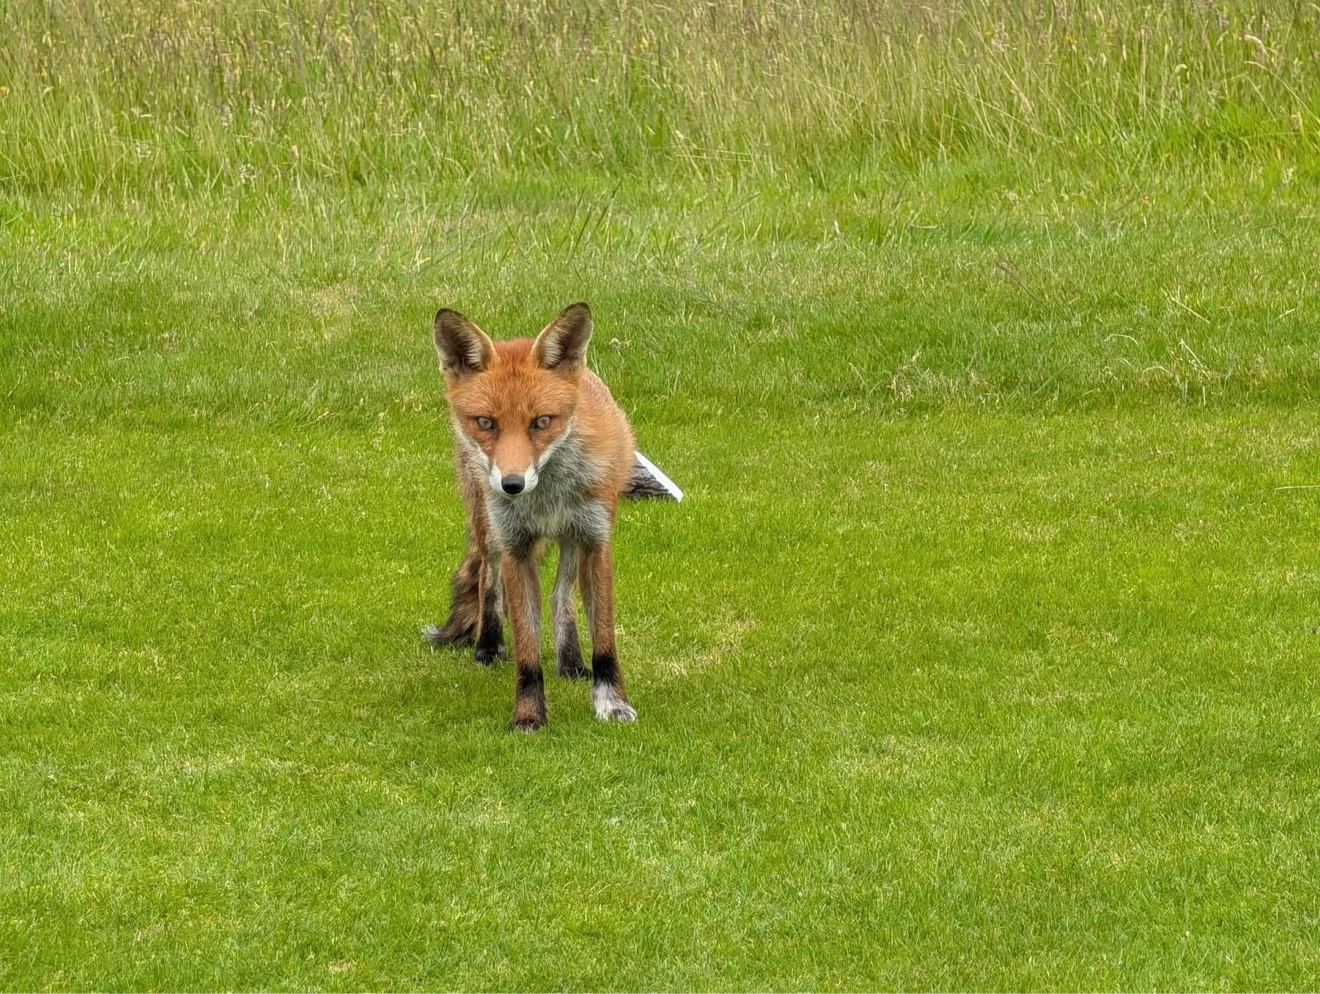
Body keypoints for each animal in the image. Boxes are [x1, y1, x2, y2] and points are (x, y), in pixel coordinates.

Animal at [423, 302, 680, 731]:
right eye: (486, 423)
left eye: (542, 422)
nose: (511, 484)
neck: (546, 497)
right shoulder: (517, 549)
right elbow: (527, 647)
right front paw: (528, 715)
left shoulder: (596, 539)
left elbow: (603, 636)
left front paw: (611, 702)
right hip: (487, 526)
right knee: (486, 577)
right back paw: (488, 645)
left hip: (571, 538)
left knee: (562, 595)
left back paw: (571, 659)